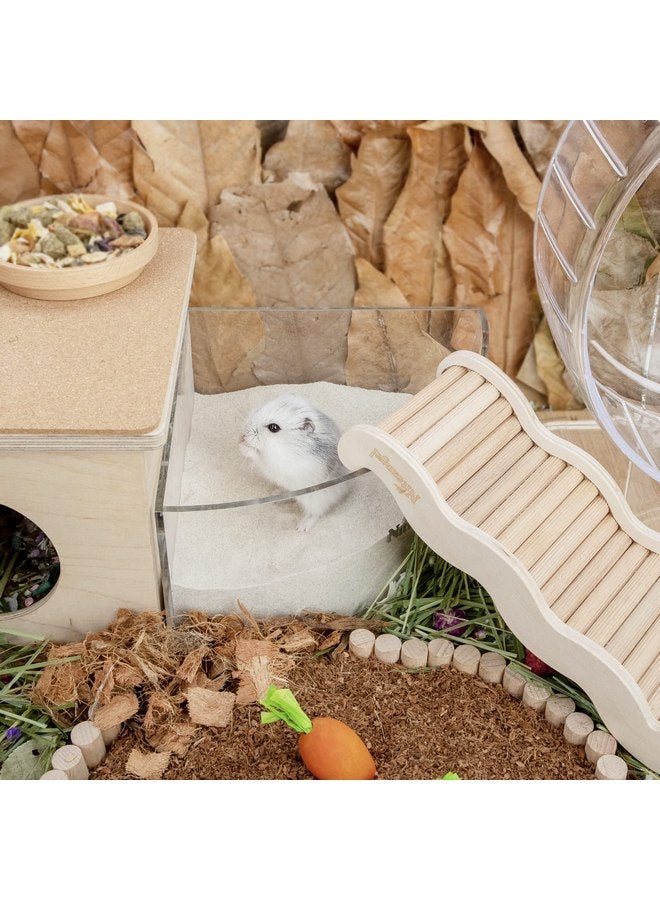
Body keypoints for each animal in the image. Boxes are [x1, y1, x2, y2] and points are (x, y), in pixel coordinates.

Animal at [239, 393, 350, 532]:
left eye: (274, 428)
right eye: (258, 409)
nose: (243, 434)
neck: (288, 445)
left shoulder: (279, 464)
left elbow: (258, 456)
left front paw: (242, 447)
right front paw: (240, 442)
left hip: (316, 499)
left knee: (315, 513)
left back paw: (301, 527)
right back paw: (275, 495)